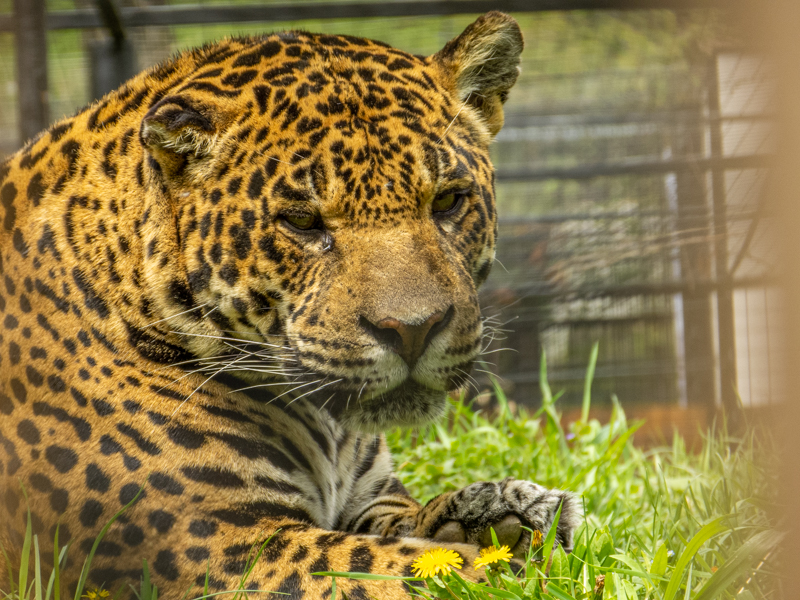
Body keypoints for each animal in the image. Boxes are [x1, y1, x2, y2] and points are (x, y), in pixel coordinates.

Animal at [0, 11, 579, 598]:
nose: (413, 330)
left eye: (448, 201)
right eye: (302, 221)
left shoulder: (369, 497)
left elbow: (414, 533)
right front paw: (516, 559)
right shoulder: (228, 547)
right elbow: (409, 570)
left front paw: (508, 511)